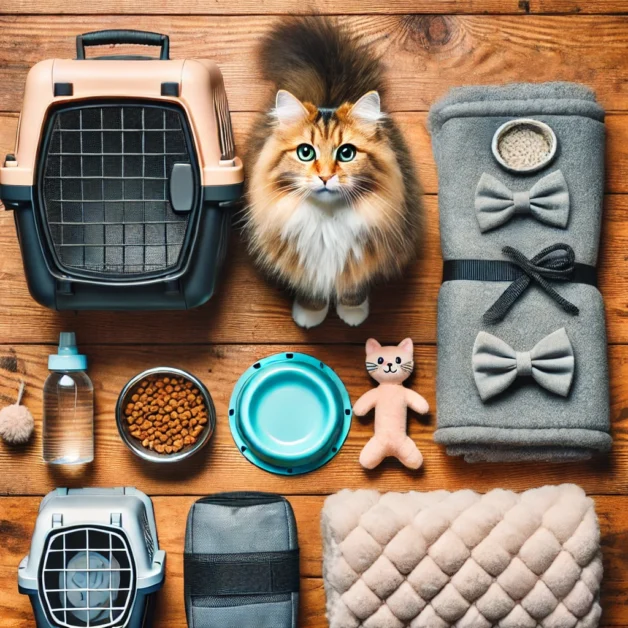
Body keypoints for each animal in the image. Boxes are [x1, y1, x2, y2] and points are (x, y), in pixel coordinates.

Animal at [244, 17, 422, 328]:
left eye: (346, 153)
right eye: (306, 152)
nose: (326, 176)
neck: (327, 221)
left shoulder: (366, 254)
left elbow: (352, 287)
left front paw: (352, 312)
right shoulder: (302, 261)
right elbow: (311, 288)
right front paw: (310, 313)